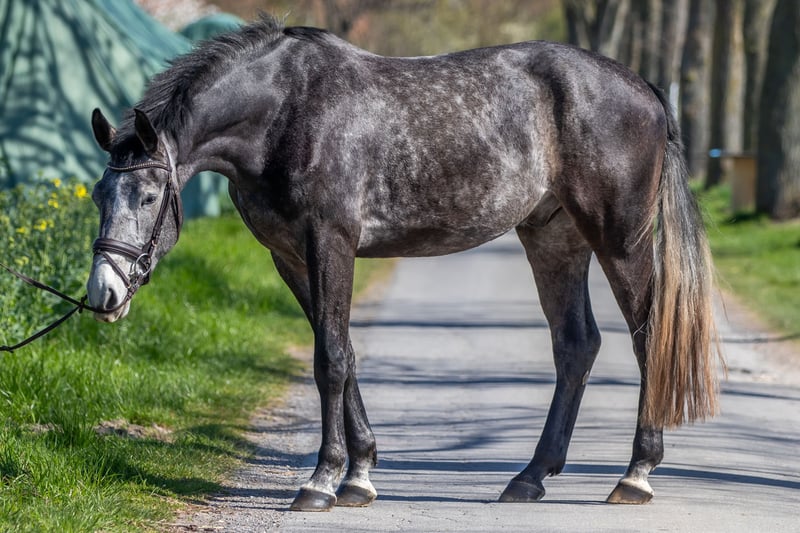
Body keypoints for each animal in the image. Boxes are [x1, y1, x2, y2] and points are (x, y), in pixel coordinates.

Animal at [86, 15, 721, 511]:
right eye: (98, 195)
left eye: (148, 197)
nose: (103, 294)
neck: (286, 112)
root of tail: (643, 89)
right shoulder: (289, 257)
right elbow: (340, 350)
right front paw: (359, 475)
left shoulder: (329, 242)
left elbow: (330, 360)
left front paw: (321, 482)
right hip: (553, 238)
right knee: (576, 345)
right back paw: (530, 477)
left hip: (619, 239)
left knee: (647, 338)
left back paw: (635, 474)